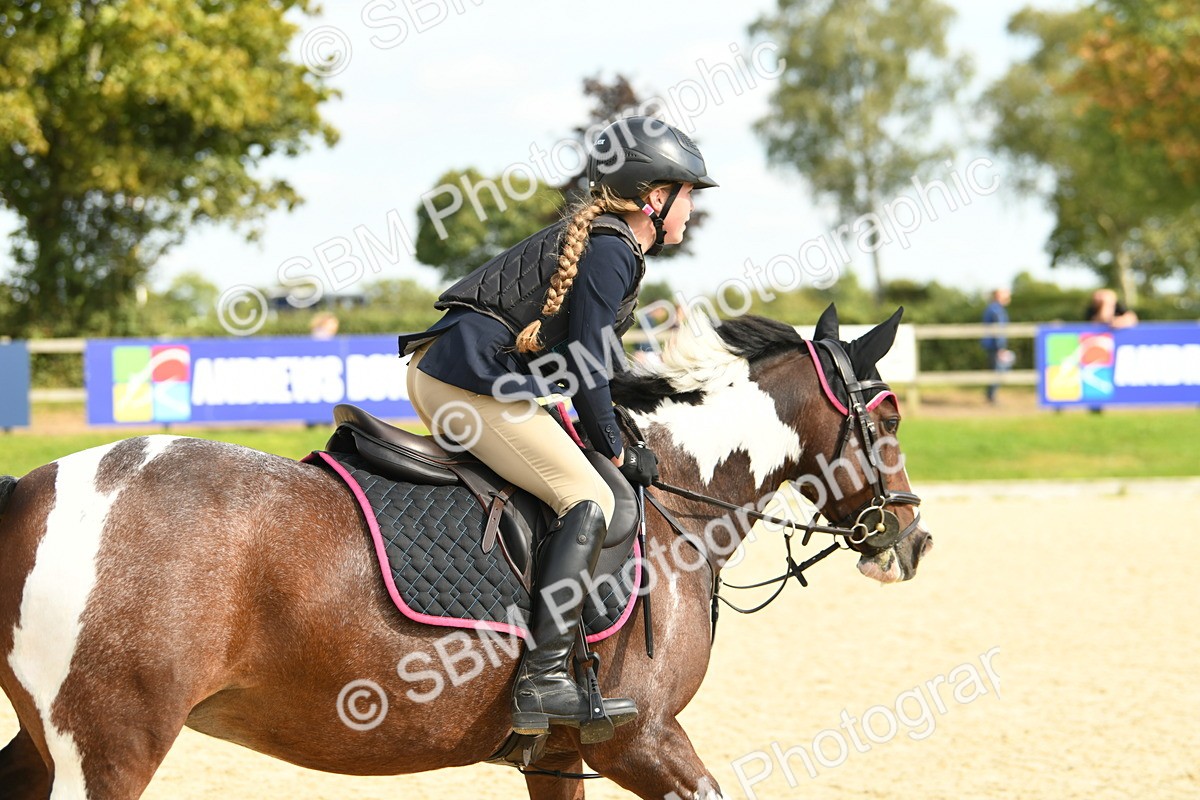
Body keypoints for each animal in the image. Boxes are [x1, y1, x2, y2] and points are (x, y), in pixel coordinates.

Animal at [0, 305, 932, 800]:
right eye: (886, 418)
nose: (913, 540)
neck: (674, 496)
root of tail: (30, 490)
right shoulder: (642, 739)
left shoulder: (561, 756)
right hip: (111, 746)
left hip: (50, 744)